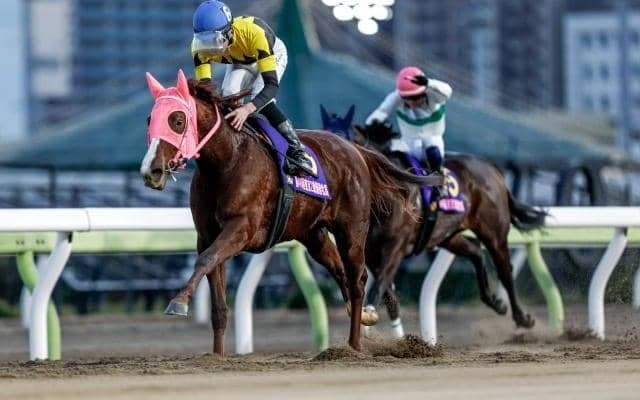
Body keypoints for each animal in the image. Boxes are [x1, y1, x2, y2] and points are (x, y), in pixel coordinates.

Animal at [139, 70, 442, 354]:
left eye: (177, 120)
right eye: (150, 119)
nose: (151, 171)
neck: (226, 161)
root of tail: (356, 150)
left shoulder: (241, 228)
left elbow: (206, 260)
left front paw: (178, 302)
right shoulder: (207, 235)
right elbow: (218, 302)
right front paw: (217, 355)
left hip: (353, 231)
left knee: (357, 280)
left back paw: (355, 345)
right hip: (314, 235)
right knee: (341, 272)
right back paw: (363, 321)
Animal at [321, 106, 547, 337]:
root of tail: (492, 168)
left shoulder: (395, 248)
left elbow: (380, 286)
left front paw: (370, 316)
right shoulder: (371, 253)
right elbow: (390, 298)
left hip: (494, 232)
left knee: (505, 270)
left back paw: (522, 317)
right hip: (447, 236)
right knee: (475, 251)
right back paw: (495, 302)